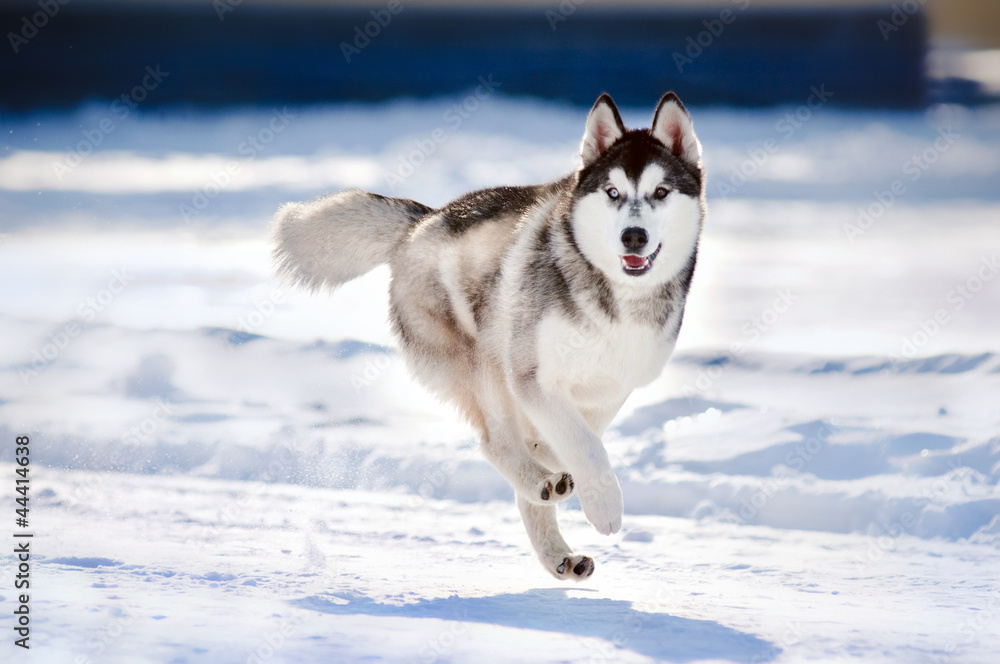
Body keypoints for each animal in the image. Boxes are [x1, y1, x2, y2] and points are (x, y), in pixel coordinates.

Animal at [272, 93, 704, 580]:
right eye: (613, 193)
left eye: (661, 192)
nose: (634, 236)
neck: (615, 296)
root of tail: (424, 222)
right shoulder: (533, 378)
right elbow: (586, 448)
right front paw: (605, 506)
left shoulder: (611, 388)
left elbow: (572, 441)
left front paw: (563, 478)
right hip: (484, 363)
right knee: (494, 441)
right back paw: (541, 483)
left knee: (527, 460)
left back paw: (558, 549)